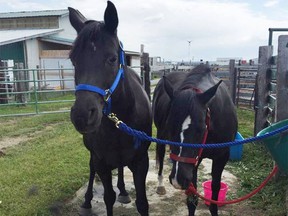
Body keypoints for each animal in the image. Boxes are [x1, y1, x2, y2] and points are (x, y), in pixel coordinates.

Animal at [68, 1, 152, 214]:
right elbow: (108, 197)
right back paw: (87, 202)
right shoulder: (101, 162)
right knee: (91, 167)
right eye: (73, 59)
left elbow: (142, 202)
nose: (82, 115)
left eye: (112, 59)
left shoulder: (141, 161)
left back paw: (123, 190)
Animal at [152, 64, 237, 216]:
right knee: (160, 157)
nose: (177, 179)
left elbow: (215, 193)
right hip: (161, 137)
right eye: (169, 126)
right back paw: (161, 185)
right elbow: (192, 200)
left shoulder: (221, 157)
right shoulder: (193, 163)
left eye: (200, 128)